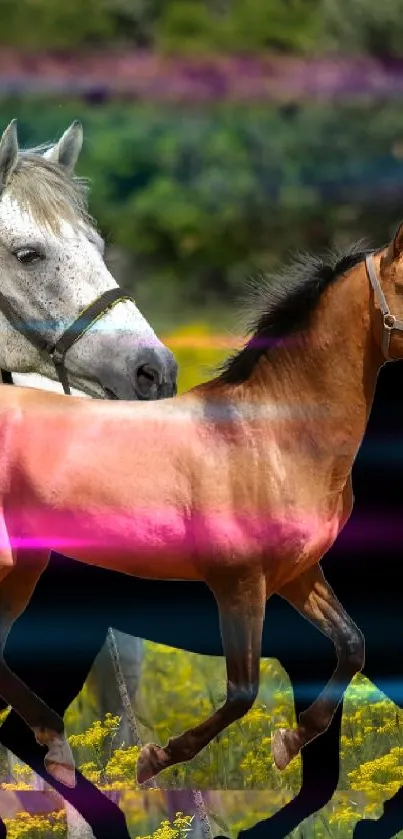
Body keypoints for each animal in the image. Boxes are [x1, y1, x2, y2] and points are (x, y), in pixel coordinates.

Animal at [0, 226, 402, 792]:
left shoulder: (298, 575)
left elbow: (351, 645)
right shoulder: (239, 583)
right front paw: (155, 759)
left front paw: (289, 742)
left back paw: (55, 750)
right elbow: (241, 692)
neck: (273, 437)